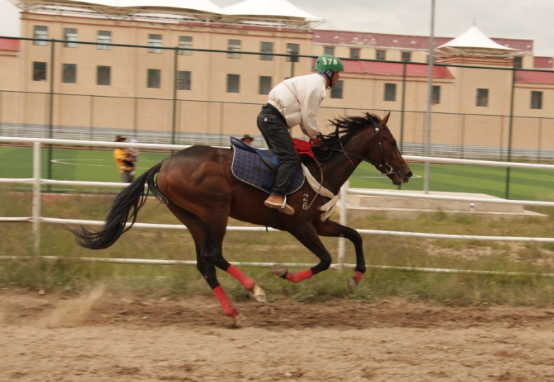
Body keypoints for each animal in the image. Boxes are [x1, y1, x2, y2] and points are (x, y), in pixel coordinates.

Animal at [70, 111, 410, 326]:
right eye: (392, 142)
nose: (406, 173)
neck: (322, 167)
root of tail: (165, 163)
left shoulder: (320, 224)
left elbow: (355, 235)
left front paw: (355, 279)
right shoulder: (299, 226)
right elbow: (325, 259)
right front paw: (282, 273)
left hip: (193, 218)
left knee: (205, 263)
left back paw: (234, 313)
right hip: (215, 211)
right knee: (212, 254)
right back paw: (254, 289)